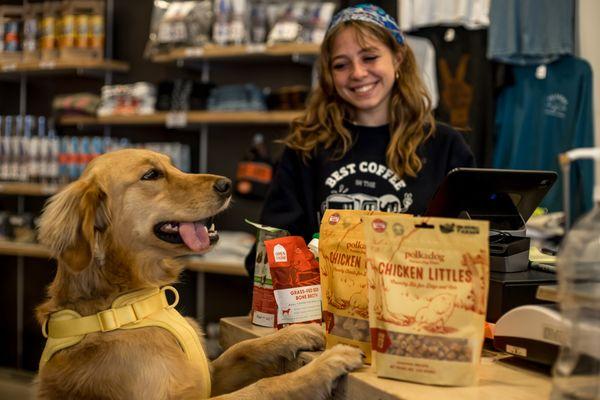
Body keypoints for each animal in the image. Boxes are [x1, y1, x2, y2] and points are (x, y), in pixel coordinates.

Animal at [35, 150, 364, 400]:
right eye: (151, 175)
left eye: (171, 165)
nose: (227, 184)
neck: (126, 304)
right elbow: (267, 385)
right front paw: (329, 362)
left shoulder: (207, 374)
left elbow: (245, 349)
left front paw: (298, 332)